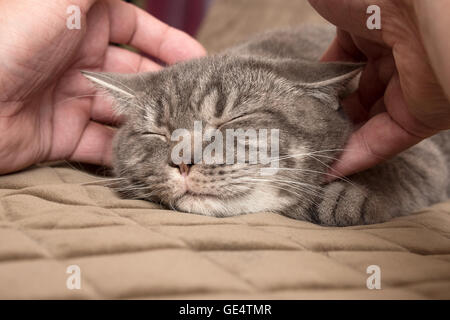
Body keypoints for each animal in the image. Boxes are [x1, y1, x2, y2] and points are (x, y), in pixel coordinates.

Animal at [81, 26, 450, 226]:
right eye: (156, 132)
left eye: (232, 120)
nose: (182, 161)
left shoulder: (424, 151)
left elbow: (400, 166)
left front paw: (347, 195)